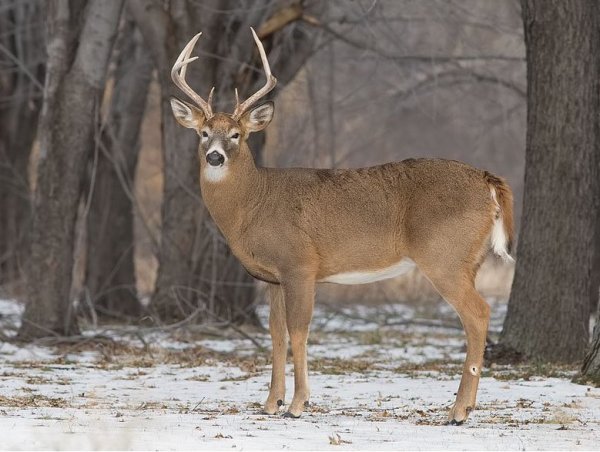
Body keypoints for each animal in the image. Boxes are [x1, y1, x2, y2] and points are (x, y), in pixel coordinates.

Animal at [170, 28, 516, 424]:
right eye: (203, 132)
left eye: (236, 134)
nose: (215, 156)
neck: (254, 204)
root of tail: (487, 179)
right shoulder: (273, 277)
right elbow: (276, 333)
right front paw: (271, 402)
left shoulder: (300, 264)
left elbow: (299, 330)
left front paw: (298, 404)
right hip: (469, 259)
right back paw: (464, 405)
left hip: (444, 256)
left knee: (478, 313)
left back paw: (458, 410)